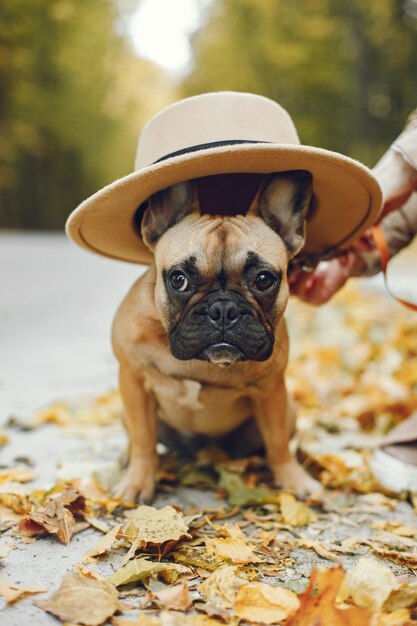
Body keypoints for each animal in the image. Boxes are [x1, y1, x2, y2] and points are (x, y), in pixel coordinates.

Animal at [110, 168, 318, 500]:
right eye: (178, 280)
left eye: (264, 280)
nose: (223, 309)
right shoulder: (134, 381)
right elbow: (143, 438)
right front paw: (137, 482)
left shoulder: (271, 391)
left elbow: (277, 443)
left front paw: (293, 479)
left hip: (289, 411)